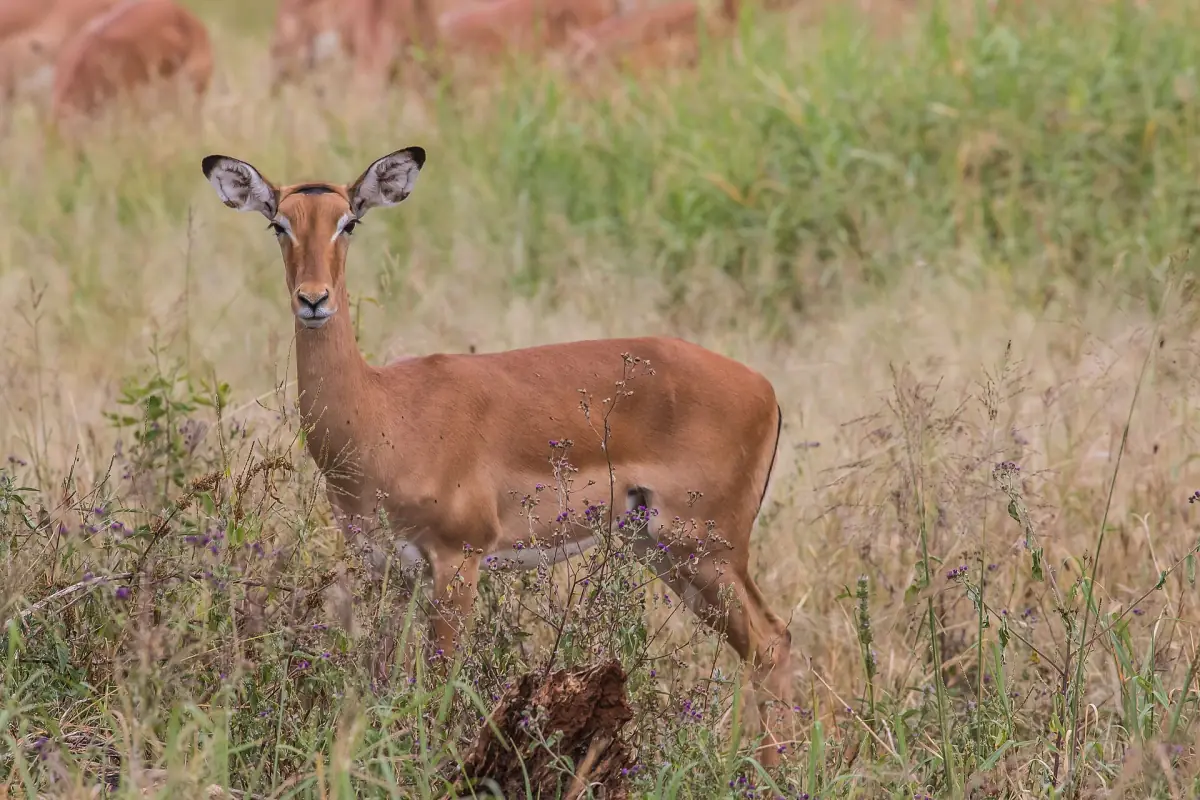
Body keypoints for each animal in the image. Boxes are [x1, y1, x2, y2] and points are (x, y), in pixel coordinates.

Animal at [199, 146, 795, 764]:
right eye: (278, 224)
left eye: (349, 222)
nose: (313, 299)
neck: (382, 413)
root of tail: (766, 389)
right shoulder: (390, 568)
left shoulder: (458, 558)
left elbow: (440, 684)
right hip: (663, 548)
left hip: (706, 547)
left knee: (771, 642)